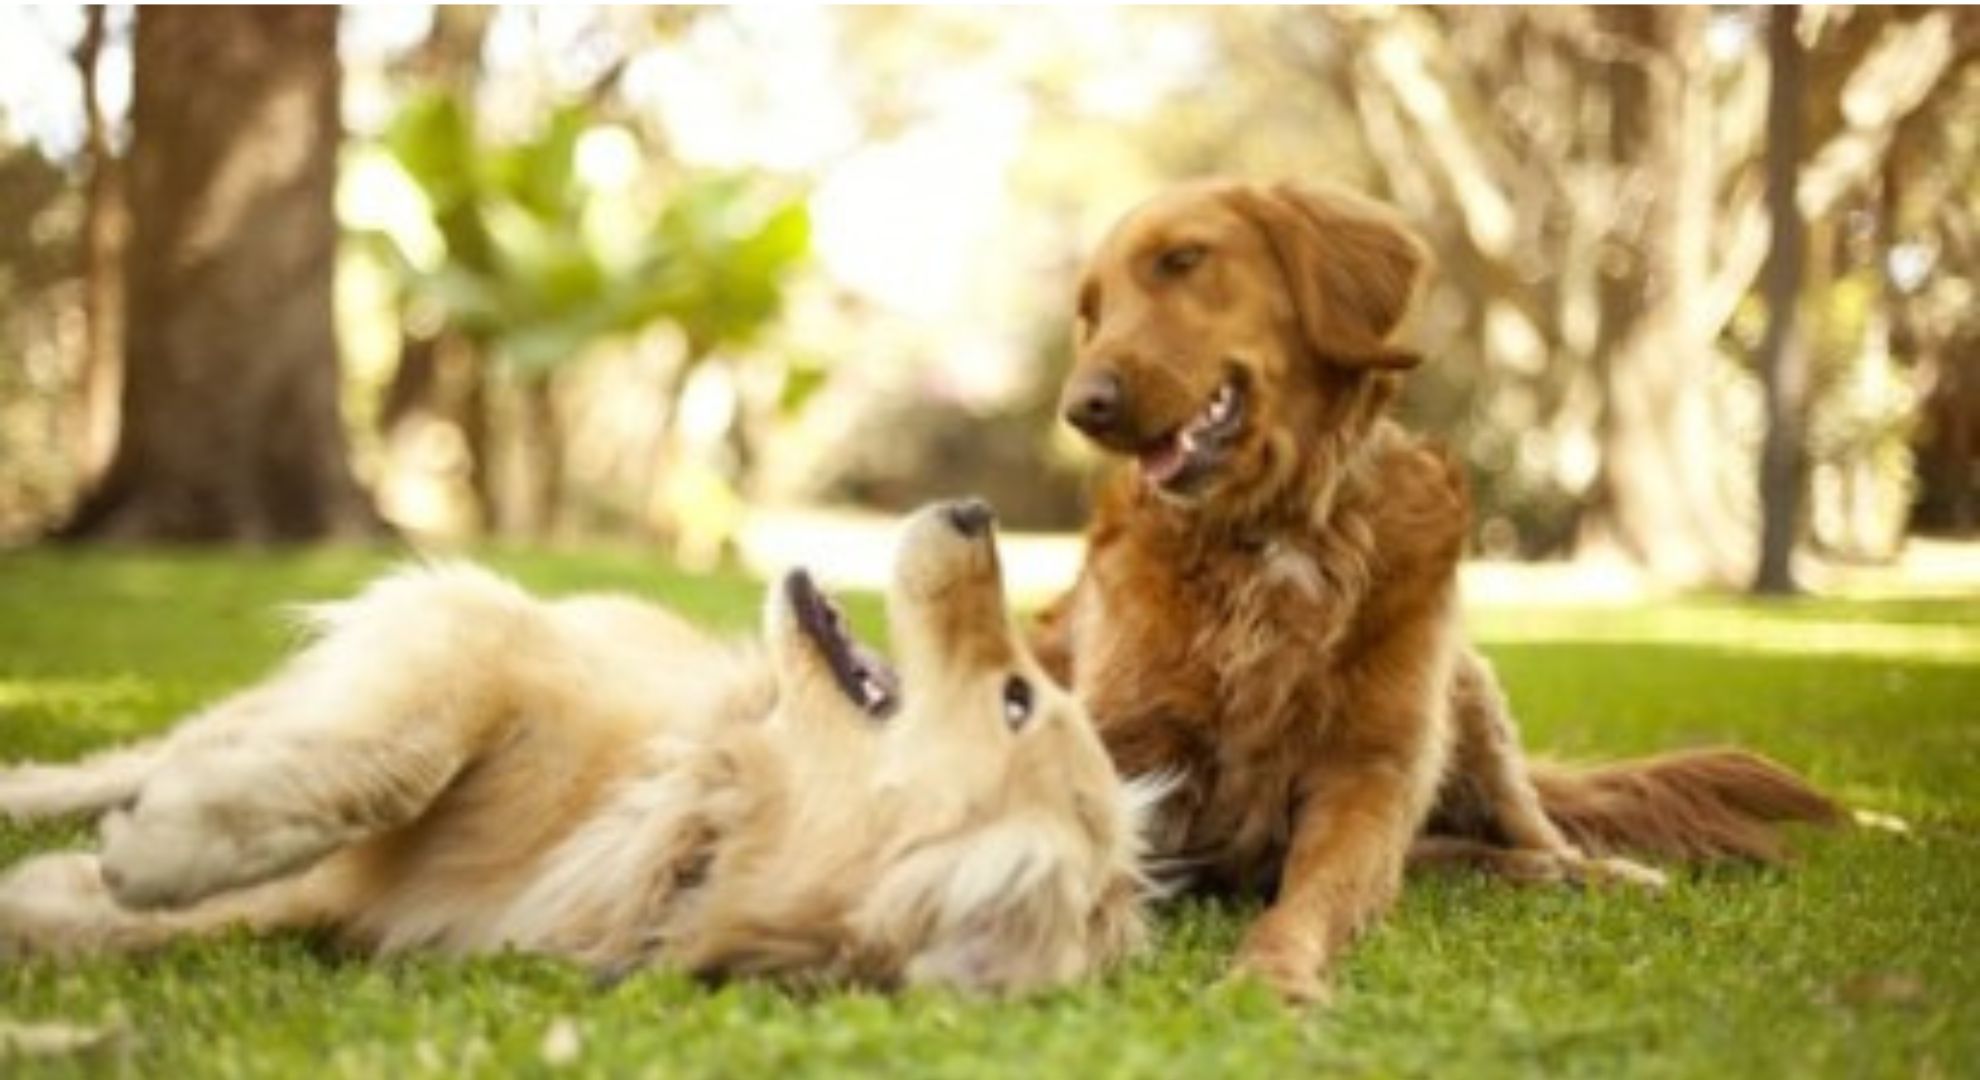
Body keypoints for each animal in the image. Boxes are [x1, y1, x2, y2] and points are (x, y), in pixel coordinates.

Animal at [0, 501, 1156, 990]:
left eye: (1017, 699)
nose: (976, 507)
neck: (702, 818)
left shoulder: (352, 902)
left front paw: (74, 896)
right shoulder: (483, 634)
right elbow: (397, 759)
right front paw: (171, 847)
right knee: (131, 760)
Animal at [1037, 183, 1837, 1002]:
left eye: (1183, 259)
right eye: (1092, 312)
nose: (1082, 407)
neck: (1277, 532)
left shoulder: (1369, 774)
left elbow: (1312, 898)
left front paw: (1270, 975)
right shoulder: (1127, 745)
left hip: (1471, 697)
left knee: (1534, 831)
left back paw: (1596, 871)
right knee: (1460, 855)